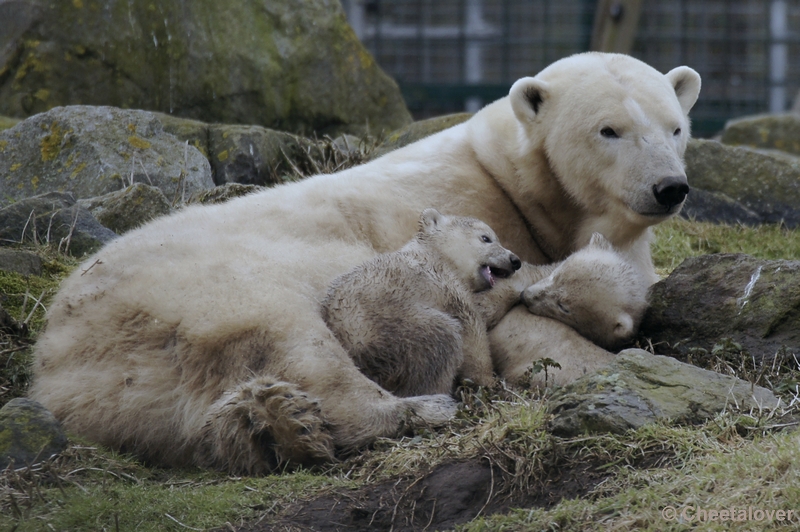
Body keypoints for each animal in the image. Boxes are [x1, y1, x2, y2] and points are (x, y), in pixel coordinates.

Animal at [28, 52, 696, 472]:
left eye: (677, 127)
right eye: (609, 129)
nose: (669, 188)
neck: (510, 177)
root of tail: (55, 353)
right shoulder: (482, 241)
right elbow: (509, 326)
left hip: (130, 387)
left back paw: (271, 429)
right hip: (203, 291)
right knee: (299, 342)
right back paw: (395, 409)